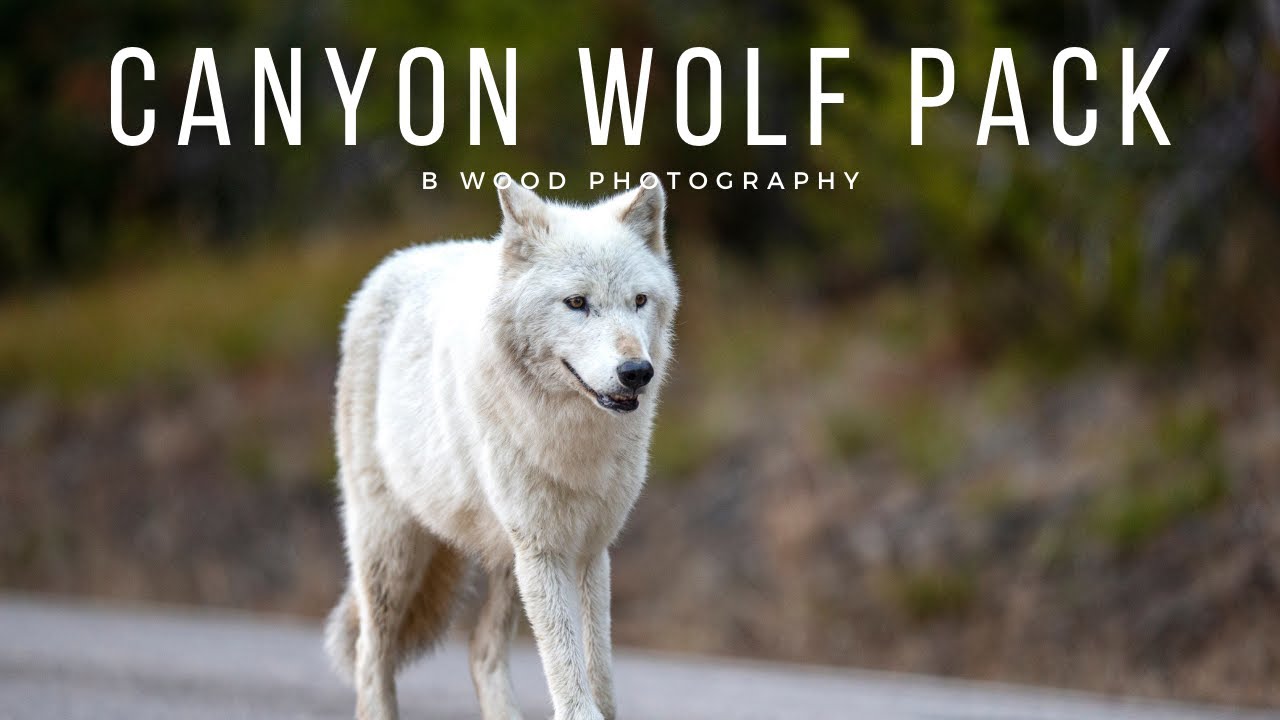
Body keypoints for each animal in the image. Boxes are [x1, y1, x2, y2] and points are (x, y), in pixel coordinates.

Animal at [325, 175, 678, 720]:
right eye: (577, 303)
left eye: (639, 300)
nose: (636, 372)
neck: (572, 438)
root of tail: (396, 261)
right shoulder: (543, 548)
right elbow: (569, 676)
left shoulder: (589, 547)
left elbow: (599, 672)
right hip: (393, 549)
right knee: (372, 654)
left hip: (507, 565)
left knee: (482, 651)